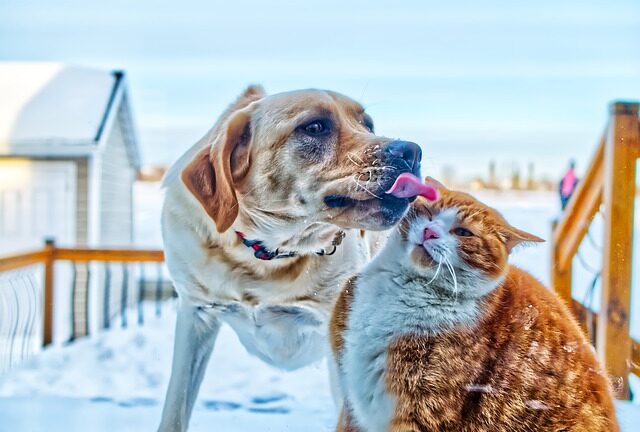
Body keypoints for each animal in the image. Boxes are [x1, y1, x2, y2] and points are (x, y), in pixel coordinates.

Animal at [158, 86, 422, 430]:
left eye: (368, 124)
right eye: (315, 127)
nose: (413, 151)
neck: (269, 256)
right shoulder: (196, 314)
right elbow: (175, 410)